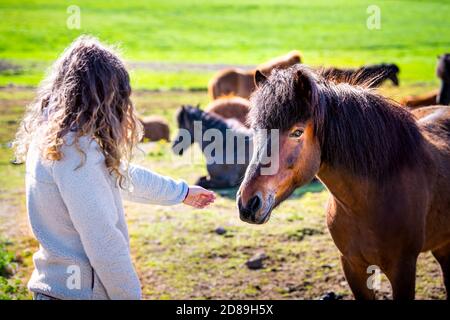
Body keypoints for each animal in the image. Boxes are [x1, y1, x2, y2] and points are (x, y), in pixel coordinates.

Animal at [237, 65, 448, 300]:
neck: (368, 202)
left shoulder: (403, 268)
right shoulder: (352, 265)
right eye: (256, 130)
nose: (248, 203)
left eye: (297, 132)